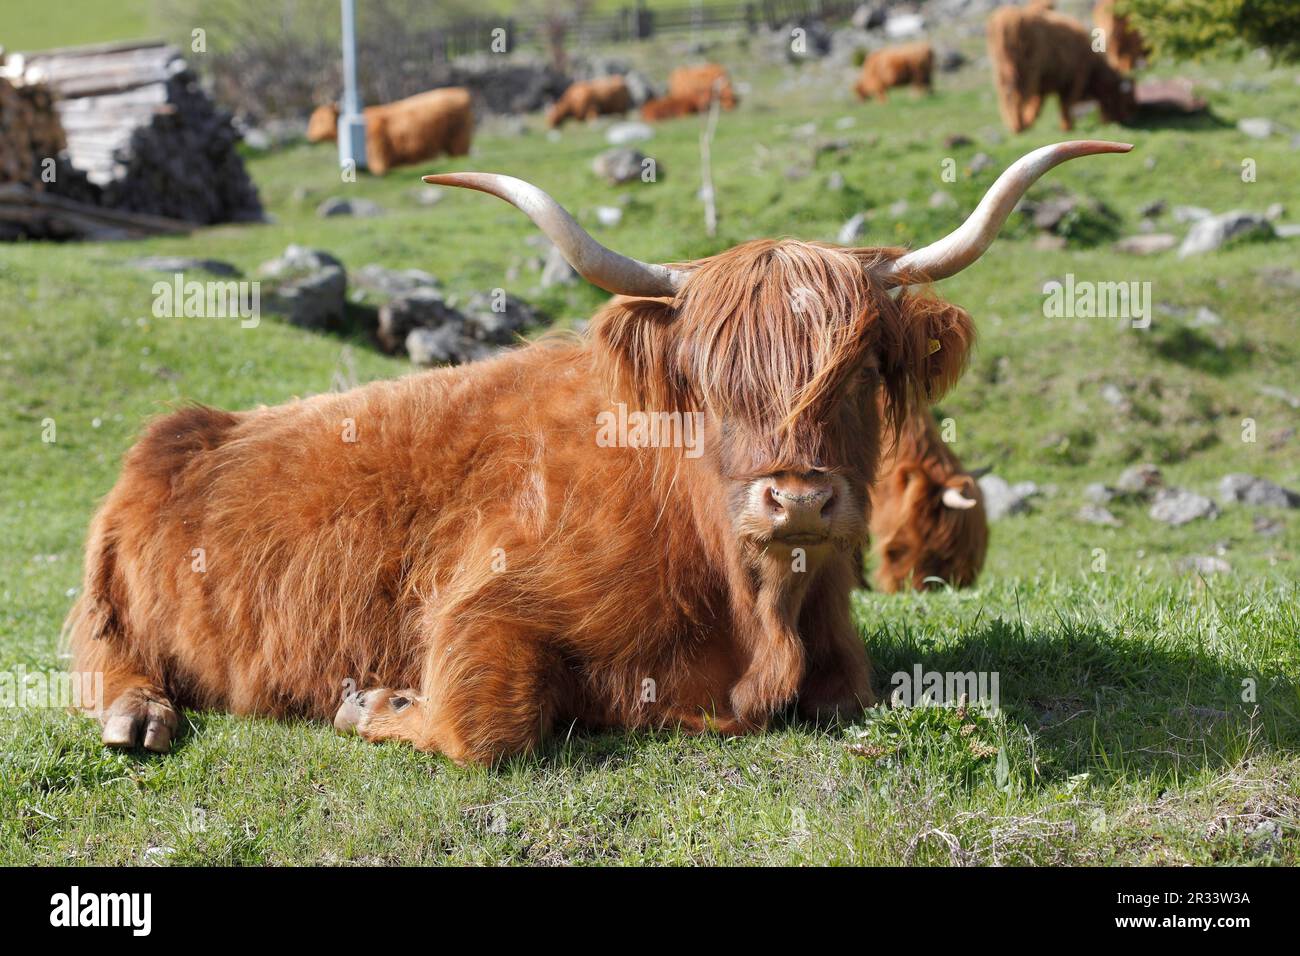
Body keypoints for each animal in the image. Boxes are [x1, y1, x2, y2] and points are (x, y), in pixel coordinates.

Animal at [306, 87, 473, 175]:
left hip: (459, 142)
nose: (310, 136)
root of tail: (460, 91)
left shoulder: (379, 160)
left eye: (321, 120)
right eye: (313, 118)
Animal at [988, 4, 1135, 133]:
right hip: (1026, 70)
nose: (1125, 119)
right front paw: (1067, 127)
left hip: (1002, 69)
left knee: (1005, 95)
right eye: (1124, 98)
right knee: (1016, 96)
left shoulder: (1045, 85)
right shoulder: (1073, 80)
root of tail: (1008, 17)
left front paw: (1030, 121)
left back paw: (1013, 125)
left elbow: (1037, 106)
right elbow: (1065, 104)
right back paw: (1018, 126)